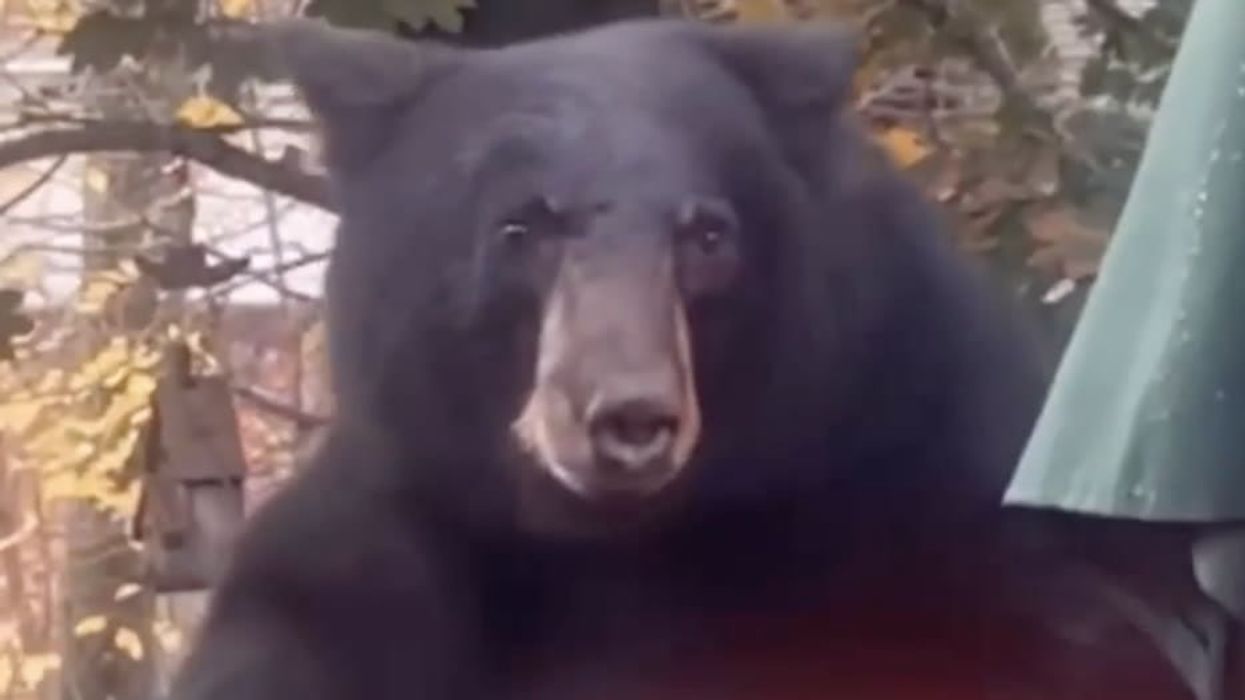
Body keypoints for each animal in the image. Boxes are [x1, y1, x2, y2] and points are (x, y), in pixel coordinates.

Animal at [169, 17, 1185, 700]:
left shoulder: (925, 506)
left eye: (706, 234)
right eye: (519, 228)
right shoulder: (373, 565)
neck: (618, 551)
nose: (628, 418)